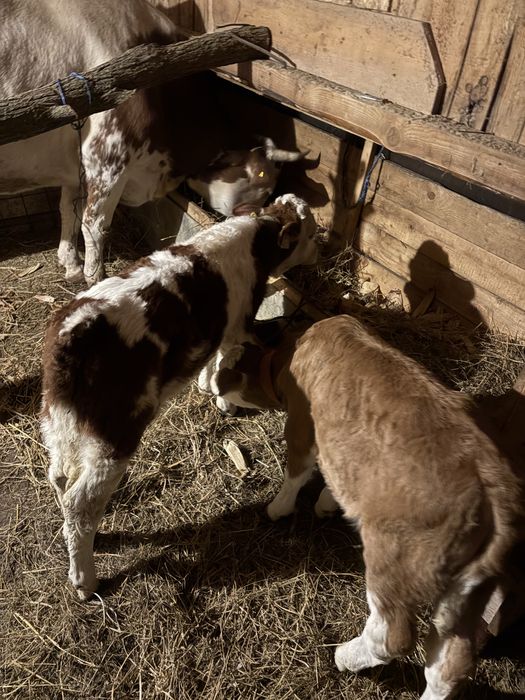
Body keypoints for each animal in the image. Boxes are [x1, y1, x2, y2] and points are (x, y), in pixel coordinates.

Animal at [0, 0, 308, 285]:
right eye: (260, 175)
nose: (252, 213)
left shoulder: (78, 163)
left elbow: (69, 211)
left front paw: (71, 264)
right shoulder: (107, 156)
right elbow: (94, 224)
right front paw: (95, 277)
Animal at [40, 193, 319, 601]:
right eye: (309, 232)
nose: (320, 249)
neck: (252, 240)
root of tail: (70, 334)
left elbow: (211, 359)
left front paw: (205, 386)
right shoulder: (237, 324)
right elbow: (226, 356)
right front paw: (224, 401)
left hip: (61, 422)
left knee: (61, 479)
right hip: (115, 431)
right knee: (81, 501)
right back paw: (85, 581)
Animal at [211, 315, 523, 700]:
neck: (287, 355)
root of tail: (496, 490)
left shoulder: (302, 423)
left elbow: (297, 470)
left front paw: (278, 508)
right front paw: (328, 503)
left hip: (394, 560)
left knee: (394, 636)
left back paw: (345, 656)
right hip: (470, 590)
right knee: (451, 662)